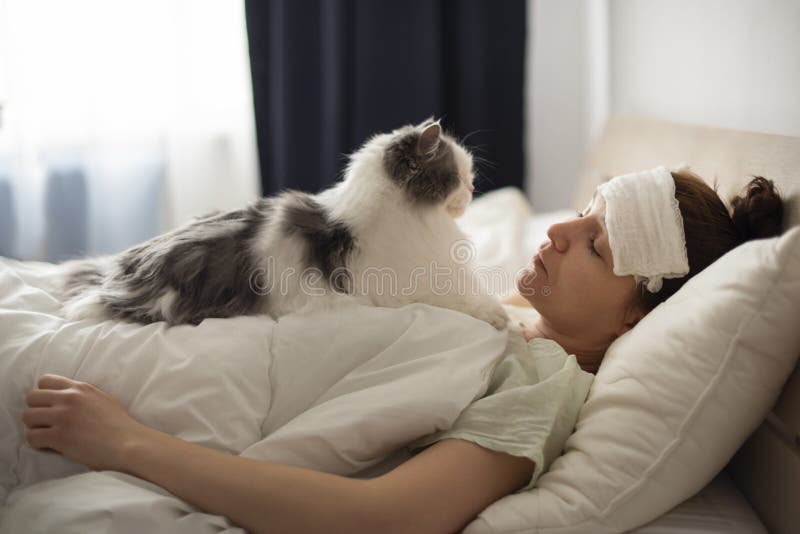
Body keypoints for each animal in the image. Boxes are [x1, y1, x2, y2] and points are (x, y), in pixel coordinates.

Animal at [61, 119, 506, 330]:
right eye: (458, 177)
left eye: (469, 177)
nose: (472, 189)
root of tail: (119, 273)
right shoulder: (419, 286)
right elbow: (472, 303)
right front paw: (503, 319)